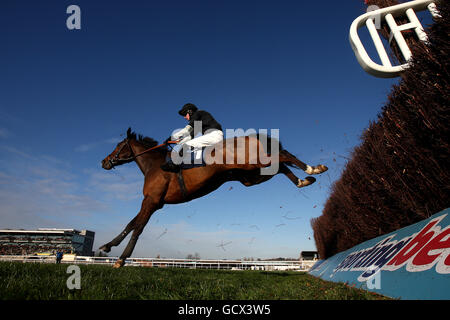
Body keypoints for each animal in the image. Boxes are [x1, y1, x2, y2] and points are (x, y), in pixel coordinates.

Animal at [99, 128, 326, 268]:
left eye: (118, 145)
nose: (104, 162)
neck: (154, 166)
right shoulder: (155, 203)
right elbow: (131, 224)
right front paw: (107, 246)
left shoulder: (152, 200)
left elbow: (138, 227)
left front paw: (121, 259)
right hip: (250, 176)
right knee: (281, 166)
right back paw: (304, 180)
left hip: (255, 164)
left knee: (283, 156)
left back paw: (313, 169)